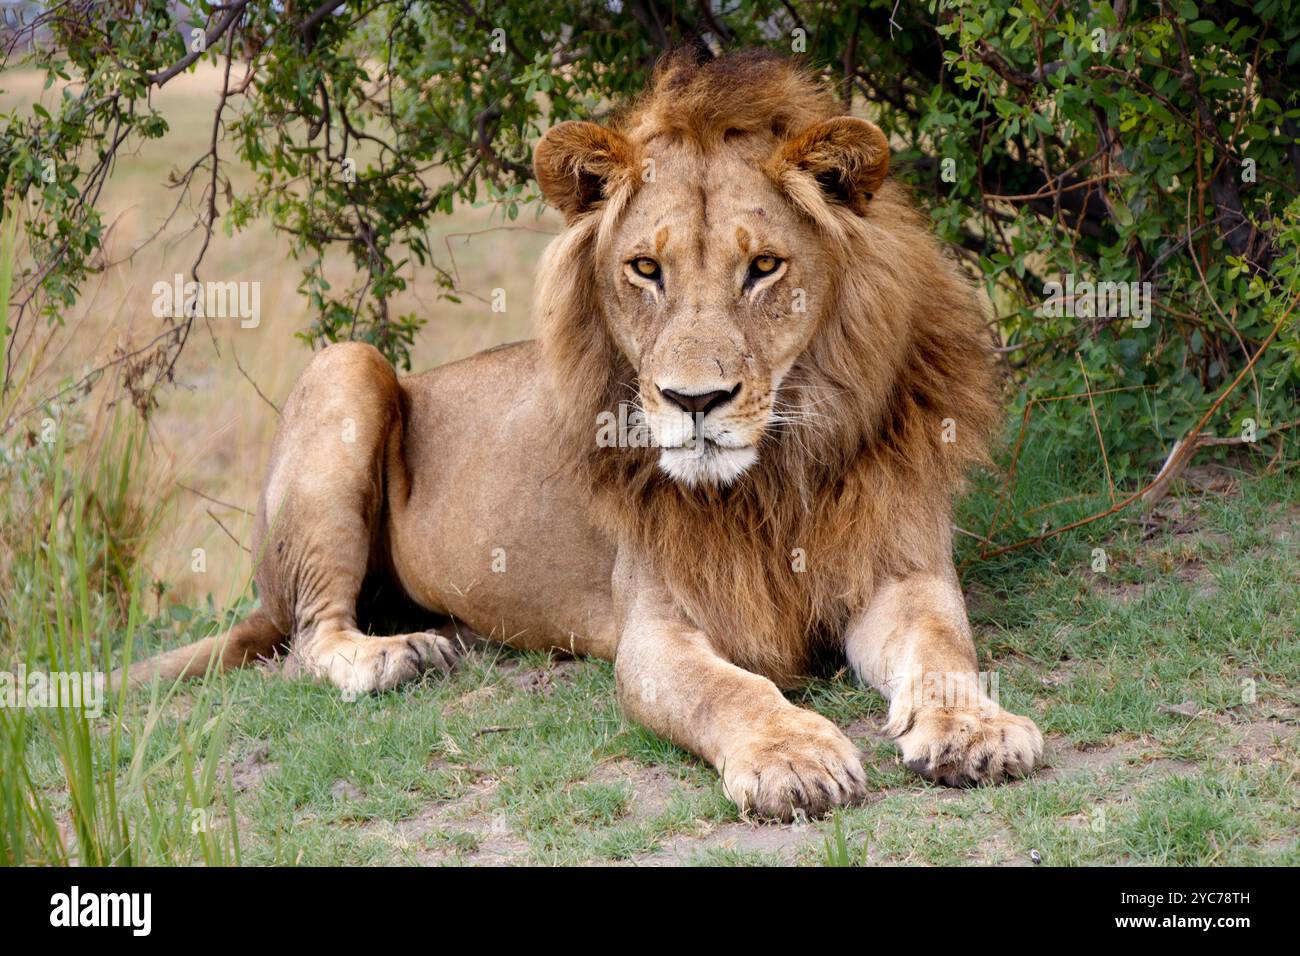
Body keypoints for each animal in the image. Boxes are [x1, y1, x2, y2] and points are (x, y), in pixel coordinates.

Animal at [122, 49, 1043, 820]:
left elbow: (944, 650)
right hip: (345, 367)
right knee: (310, 637)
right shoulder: (657, 631)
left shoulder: (902, 573)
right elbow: (730, 692)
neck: (774, 476)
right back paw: (396, 656)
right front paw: (792, 757)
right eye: (645, 269)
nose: (695, 400)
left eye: (764, 267)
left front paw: (976, 732)